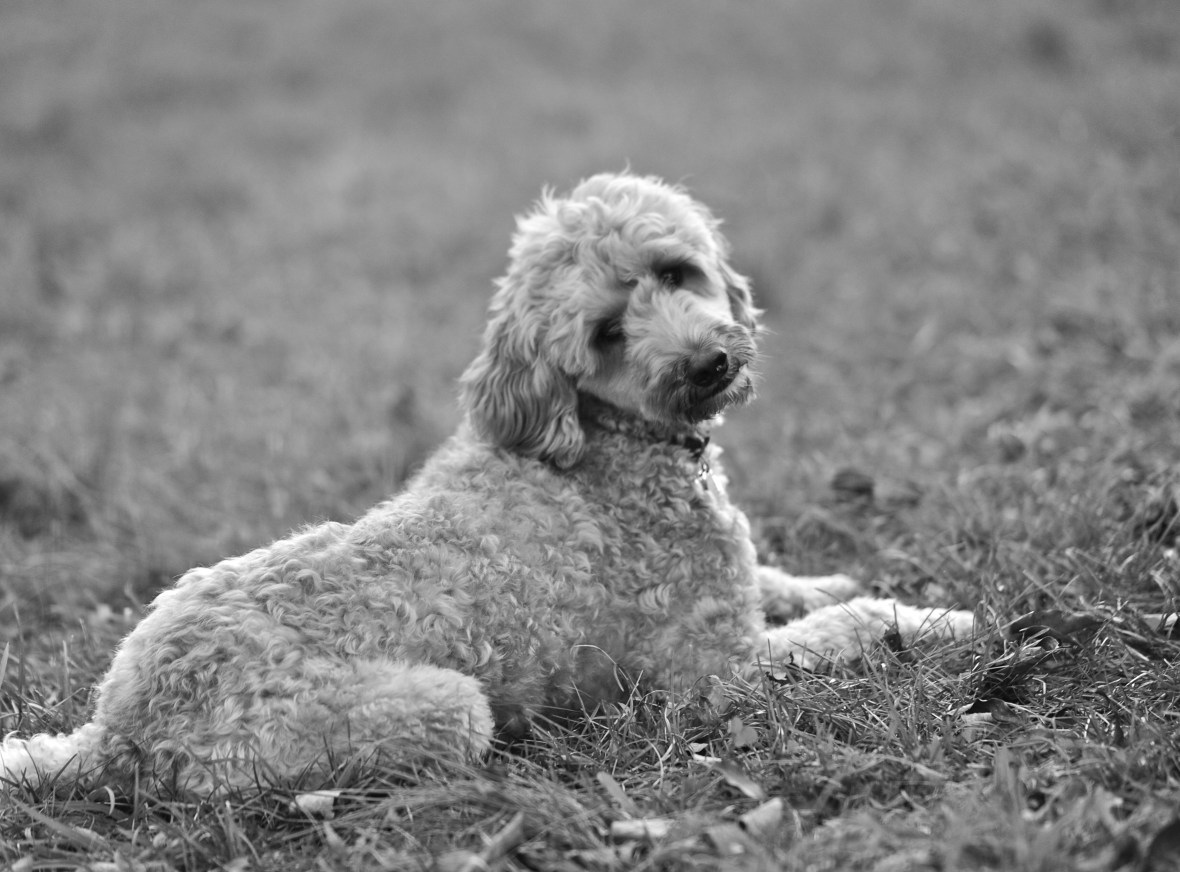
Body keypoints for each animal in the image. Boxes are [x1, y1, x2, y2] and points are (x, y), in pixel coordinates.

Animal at [0, 173, 975, 797]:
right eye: (608, 333)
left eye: (675, 272)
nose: (708, 364)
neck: (606, 442)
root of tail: (117, 729)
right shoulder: (715, 673)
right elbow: (847, 627)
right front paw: (932, 618)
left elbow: (788, 581)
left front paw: (830, 578)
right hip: (437, 707)